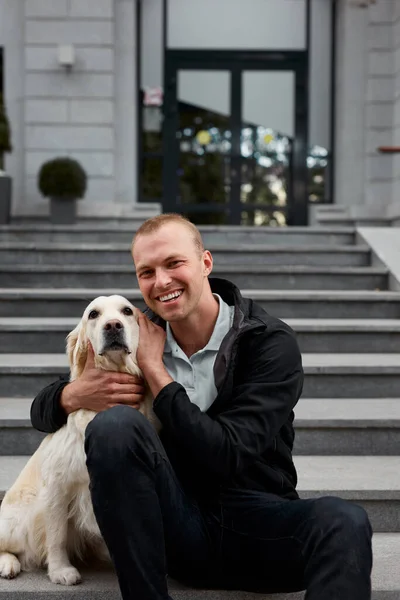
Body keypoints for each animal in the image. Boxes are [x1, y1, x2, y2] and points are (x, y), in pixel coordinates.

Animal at [0, 296, 159, 584]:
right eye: (93, 314)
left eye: (127, 311)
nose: (113, 326)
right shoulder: (57, 485)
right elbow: (56, 534)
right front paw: (60, 570)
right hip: (18, 519)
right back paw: (8, 564)